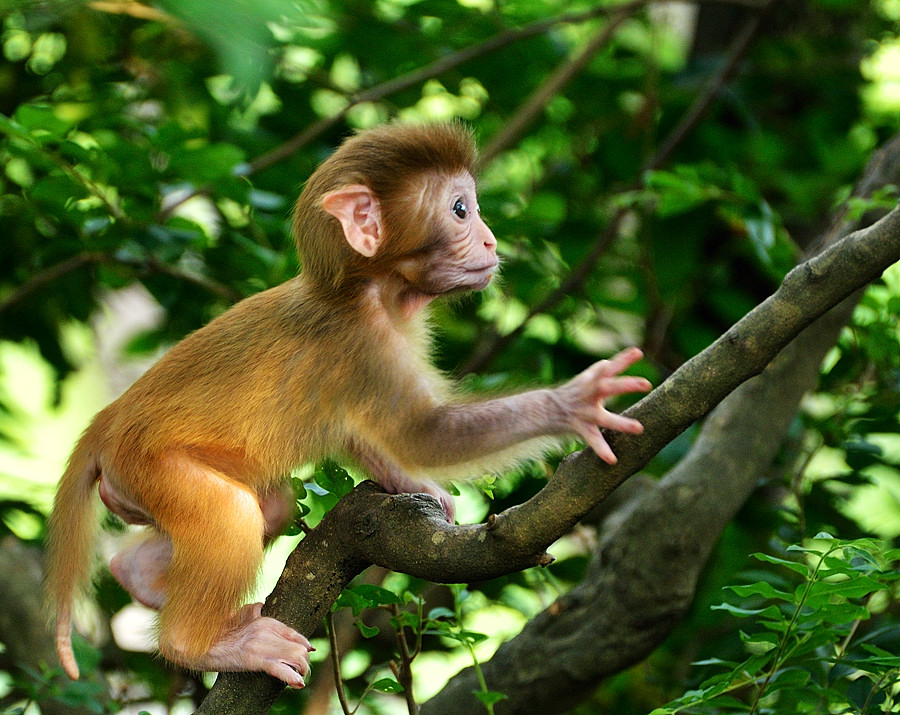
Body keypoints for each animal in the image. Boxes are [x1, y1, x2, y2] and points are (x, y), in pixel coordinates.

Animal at [45, 123, 652, 688]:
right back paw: (202, 645)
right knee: (229, 513)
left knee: (269, 506)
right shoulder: (364, 345)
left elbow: (365, 434)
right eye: (461, 209)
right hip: (152, 466)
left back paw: (138, 574)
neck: (368, 289)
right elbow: (423, 434)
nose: (490, 241)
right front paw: (573, 404)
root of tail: (108, 423)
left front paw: (414, 485)